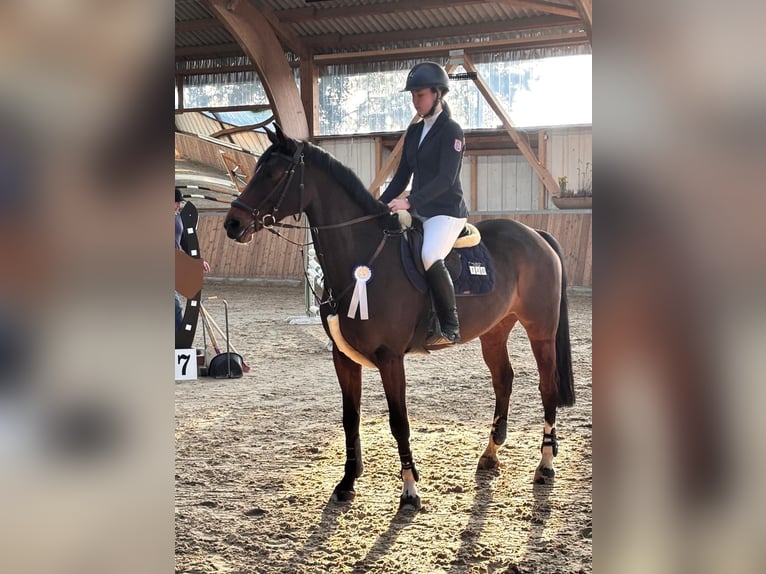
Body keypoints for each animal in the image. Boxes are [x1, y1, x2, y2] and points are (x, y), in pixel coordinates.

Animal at [224, 125, 575, 510]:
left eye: (273, 173)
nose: (232, 223)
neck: (363, 259)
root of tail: (535, 235)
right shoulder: (343, 358)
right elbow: (350, 418)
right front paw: (347, 482)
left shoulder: (390, 358)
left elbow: (398, 421)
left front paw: (409, 490)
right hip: (495, 330)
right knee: (504, 380)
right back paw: (489, 454)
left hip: (540, 329)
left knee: (547, 387)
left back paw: (545, 464)